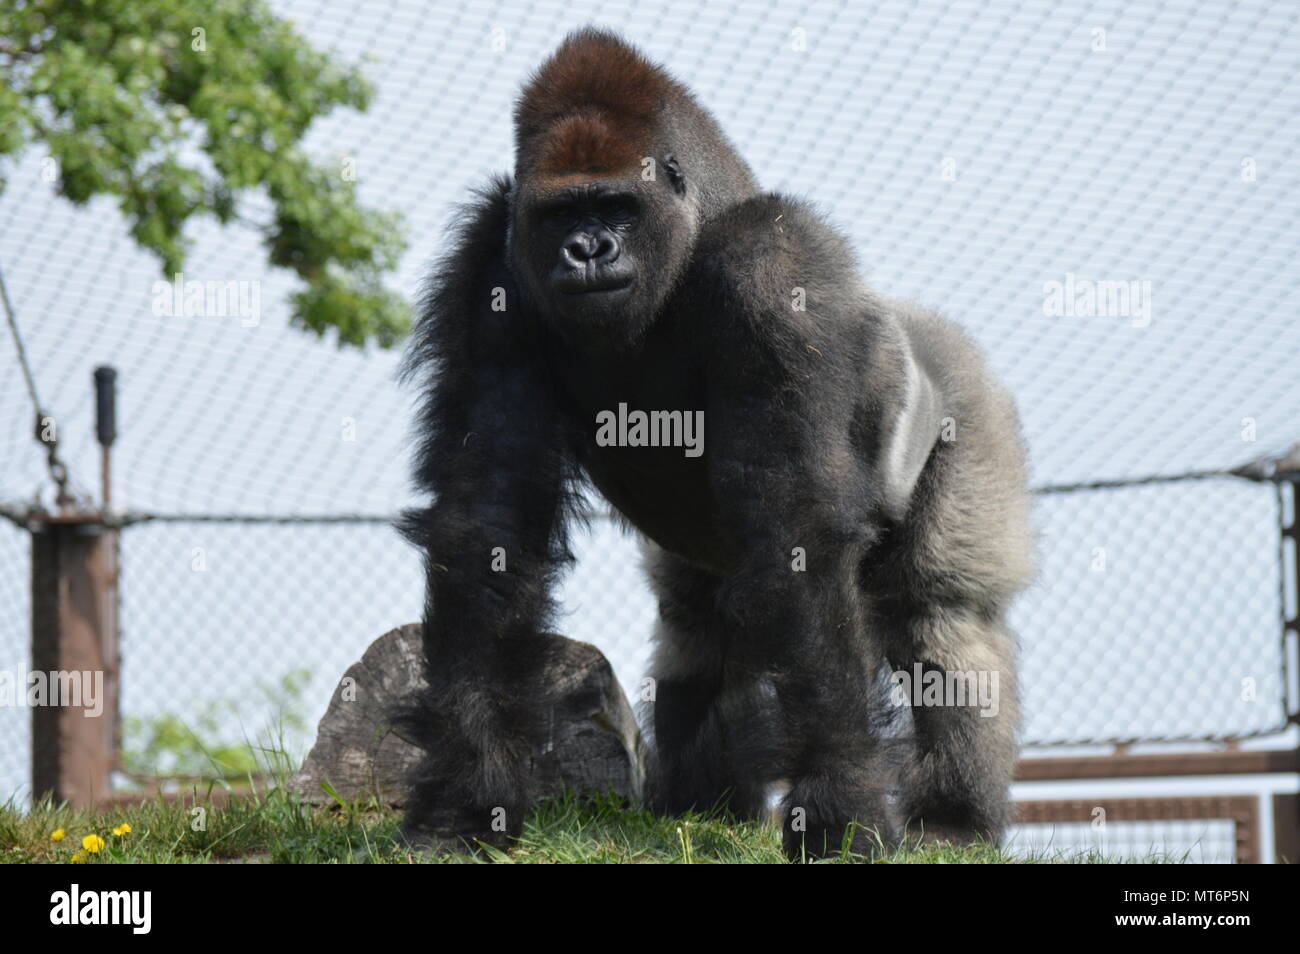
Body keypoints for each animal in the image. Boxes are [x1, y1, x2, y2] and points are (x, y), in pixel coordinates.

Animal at [397, 31, 1034, 868]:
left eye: (617, 207)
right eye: (562, 212)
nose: (586, 248)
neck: (695, 222)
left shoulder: (775, 266)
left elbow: (801, 533)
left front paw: (842, 802)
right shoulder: (490, 270)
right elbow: (490, 515)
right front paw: (471, 788)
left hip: (969, 405)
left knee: (946, 617)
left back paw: (956, 819)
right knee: (696, 624)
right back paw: (702, 805)